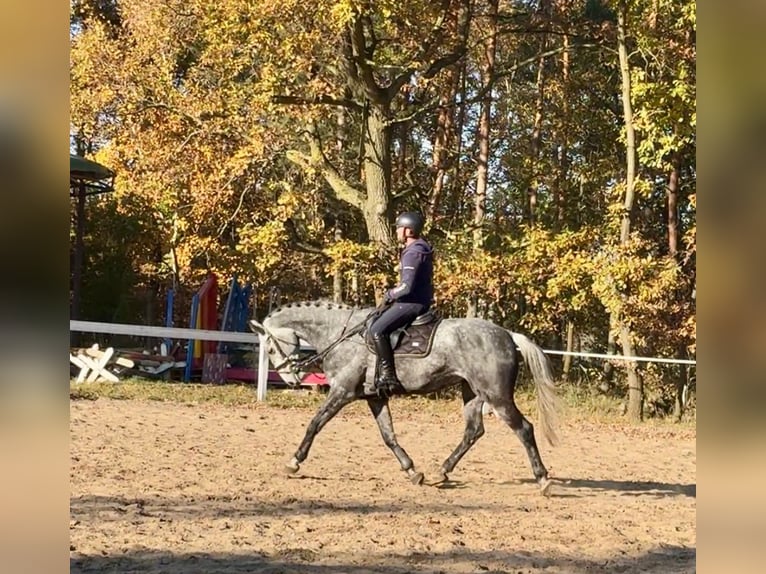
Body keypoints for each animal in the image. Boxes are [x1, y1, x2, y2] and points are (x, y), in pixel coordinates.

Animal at [250, 302, 560, 496]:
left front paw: (294, 462)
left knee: (523, 429)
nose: (292, 380)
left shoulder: (342, 392)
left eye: (270, 347)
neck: (340, 335)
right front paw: (412, 471)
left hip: (496, 395)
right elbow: (388, 436)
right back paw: (442, 471)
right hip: (472, 392)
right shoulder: (374, 398)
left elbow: (315, 424)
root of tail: (507, 334)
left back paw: (543, 479)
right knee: (473, 430)